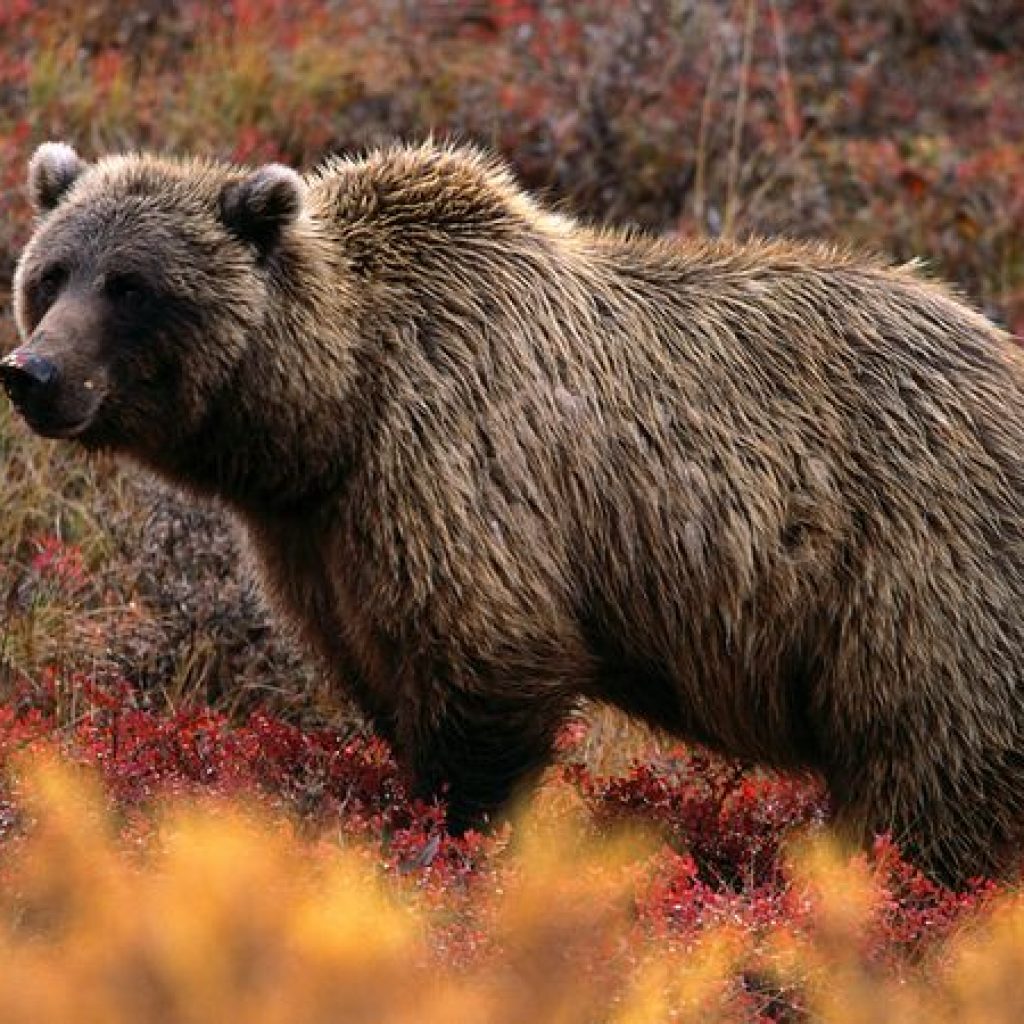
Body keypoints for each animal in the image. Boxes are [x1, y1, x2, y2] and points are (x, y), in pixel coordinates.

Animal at [4, 139, 1024, 886]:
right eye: (52, 273)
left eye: (132, 285)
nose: (33, 373)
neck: (333, 411)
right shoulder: (321, 540)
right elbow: (378, 668)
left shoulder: (454, 462)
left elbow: (487, 664)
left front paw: (458, 839)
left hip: (920, 570)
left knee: (928, 767)